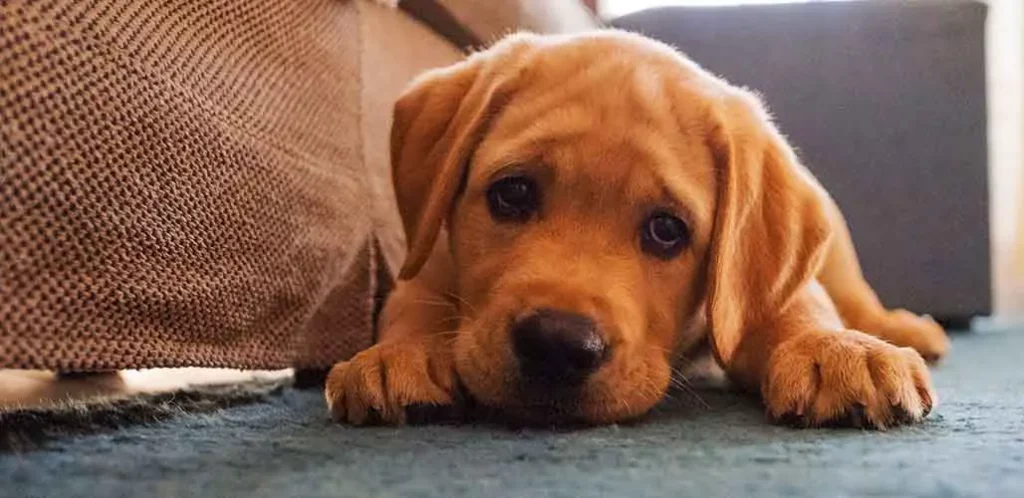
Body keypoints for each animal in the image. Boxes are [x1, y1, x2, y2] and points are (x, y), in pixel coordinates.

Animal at [327, 30, 950, 428]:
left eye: (667, 231)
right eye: (513, 194)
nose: (556, 345)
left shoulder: (753, 290)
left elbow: (796, 306)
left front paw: (835, 348)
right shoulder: (431, 258)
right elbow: (414, 300)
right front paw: (403, 353)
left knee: (853, 294)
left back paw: (901, 328)